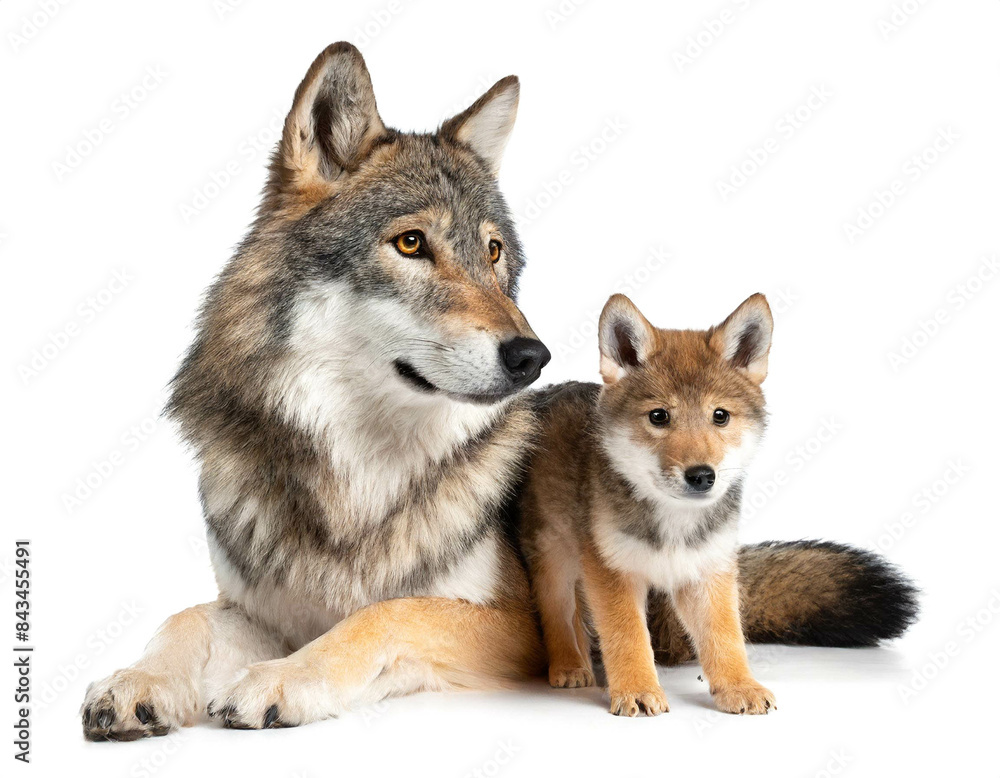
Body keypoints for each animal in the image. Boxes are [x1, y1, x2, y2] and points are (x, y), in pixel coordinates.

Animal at [81, 43, 917, 740]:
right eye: (411, 243)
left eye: (492, 253)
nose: (531, 354)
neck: (356, 476)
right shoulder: (259, 608)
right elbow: (185, 618)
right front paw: (136, 683)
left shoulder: (512, 626)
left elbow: (385, 615)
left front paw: (279, 683)